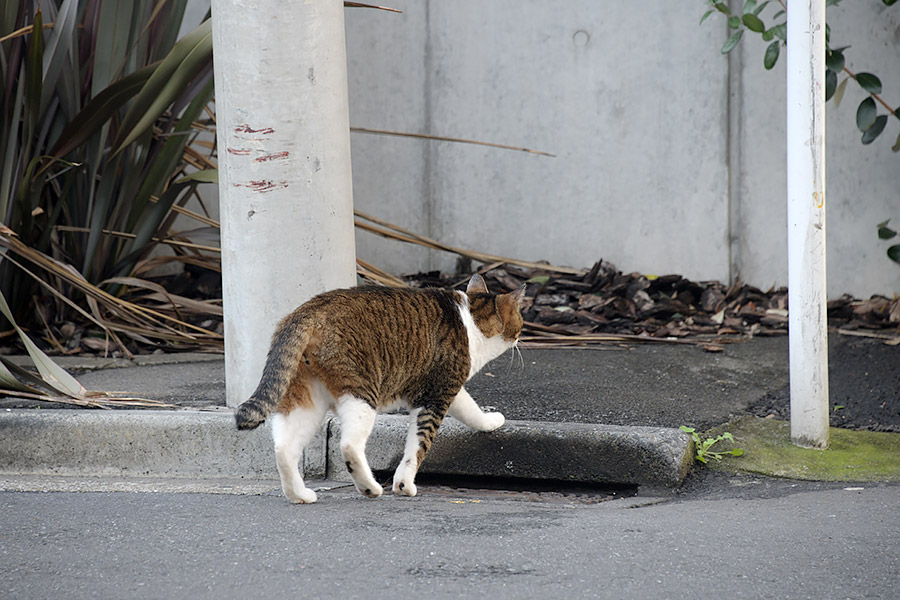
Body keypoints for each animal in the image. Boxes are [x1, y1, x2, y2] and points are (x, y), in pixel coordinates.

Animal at [236, 274, 524, 504]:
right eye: (520, 321)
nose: (522, 335)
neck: (471, 320)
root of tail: (307, 312)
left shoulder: (445, 389)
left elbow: (469, 409)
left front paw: (489, 422)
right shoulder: (436, 394)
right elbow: (418, 444)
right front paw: (404, 485)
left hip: (304, 398)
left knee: (283, 448)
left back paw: (300, 495)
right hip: (361, 392)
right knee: (349, 445)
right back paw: (370, 488)